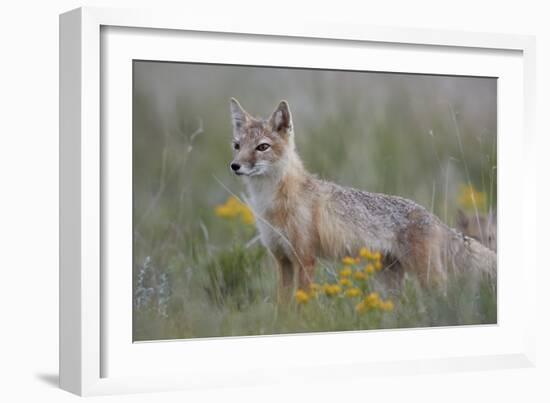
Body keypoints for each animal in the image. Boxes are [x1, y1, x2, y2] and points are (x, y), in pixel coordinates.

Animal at [230, 99, 500, 292]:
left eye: (262, 147)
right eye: (237, 146)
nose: (235, 166)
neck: (270, 203)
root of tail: (433, 218)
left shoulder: (305, 259)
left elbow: (301, 306)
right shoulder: (283, 261)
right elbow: (283, 309)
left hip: (428, 278)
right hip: (389, 283)